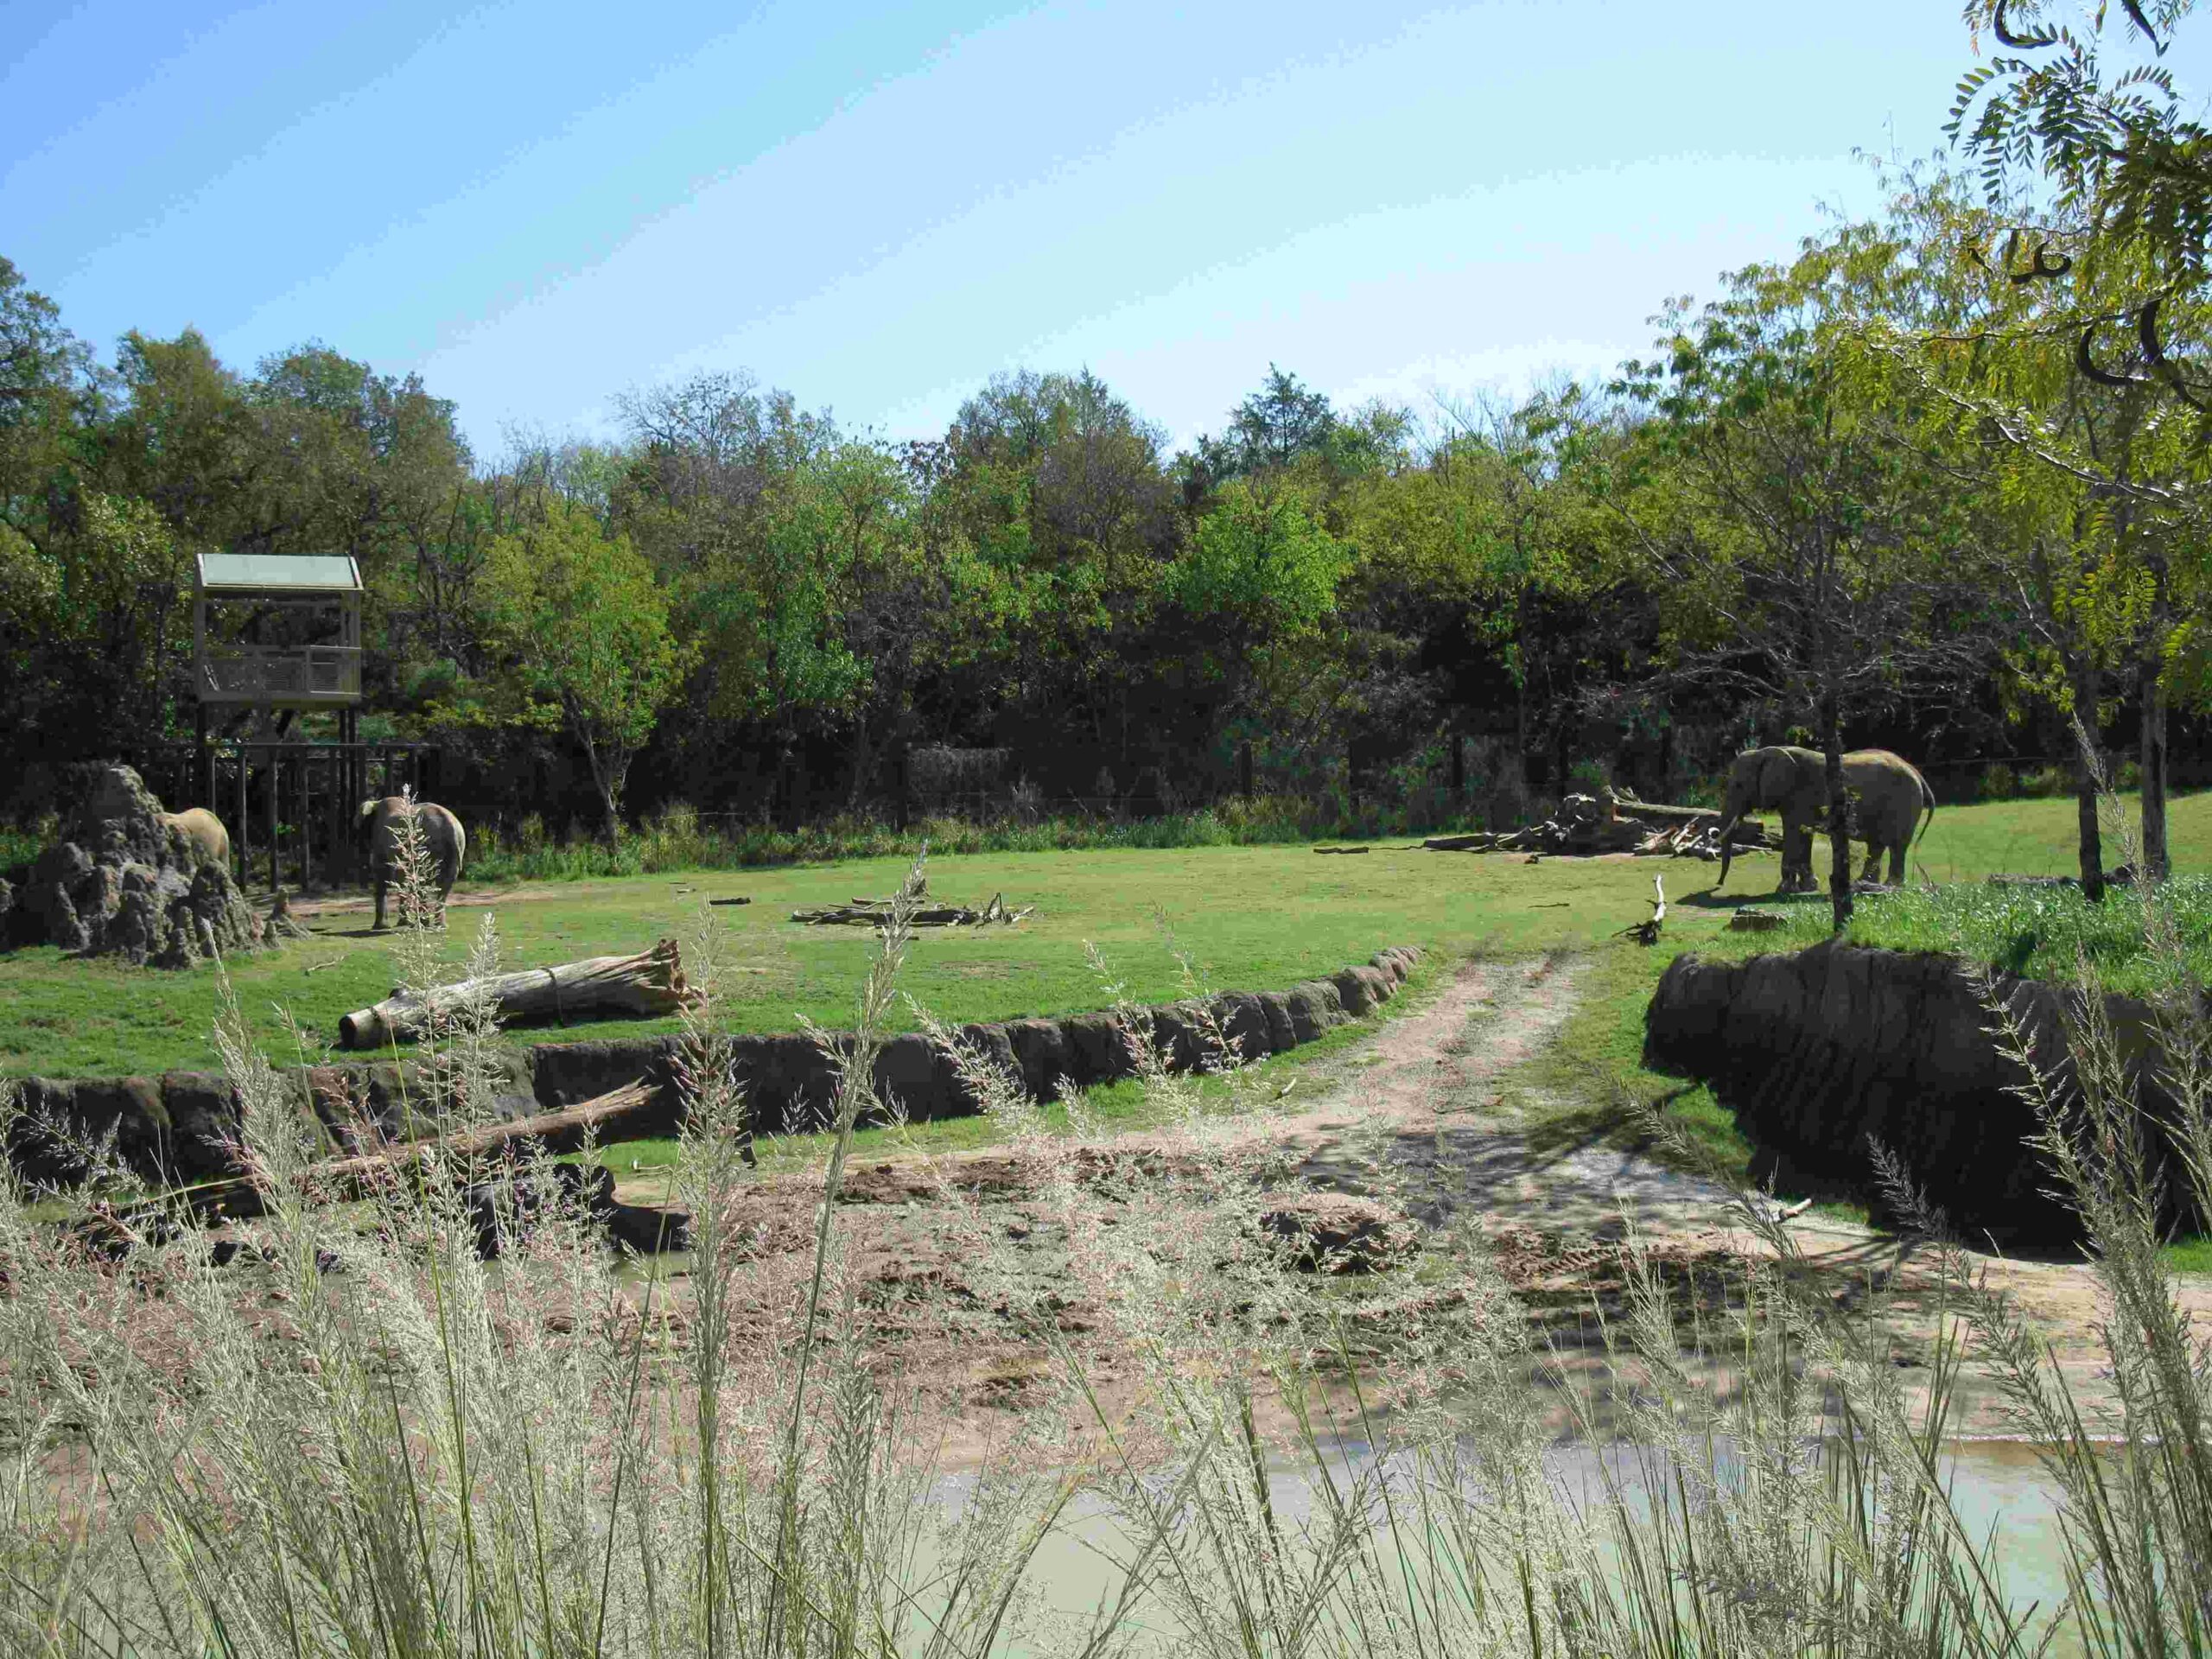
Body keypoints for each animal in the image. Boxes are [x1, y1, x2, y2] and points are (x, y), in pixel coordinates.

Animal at [360, 800, 468, 929]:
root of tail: (449, 824)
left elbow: (384, 873)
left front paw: (383, 927)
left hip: (424, 843)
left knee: (422, 877)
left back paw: (423, 924)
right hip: (457, 846)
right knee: (446, 882)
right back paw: (439, 926)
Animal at [1707, 743, 1937, 889]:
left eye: (1738, 785)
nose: (1719, 884)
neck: (1765, 752)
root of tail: (1918, 774)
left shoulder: (1800, 795)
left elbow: (1795, 833)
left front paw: (1785, 889)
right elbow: (1800, 833)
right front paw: (1805, 887)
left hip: (1904, 801)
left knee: (1897, 844)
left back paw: (1890, 886)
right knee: (1877, 844)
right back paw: (1864, 884)